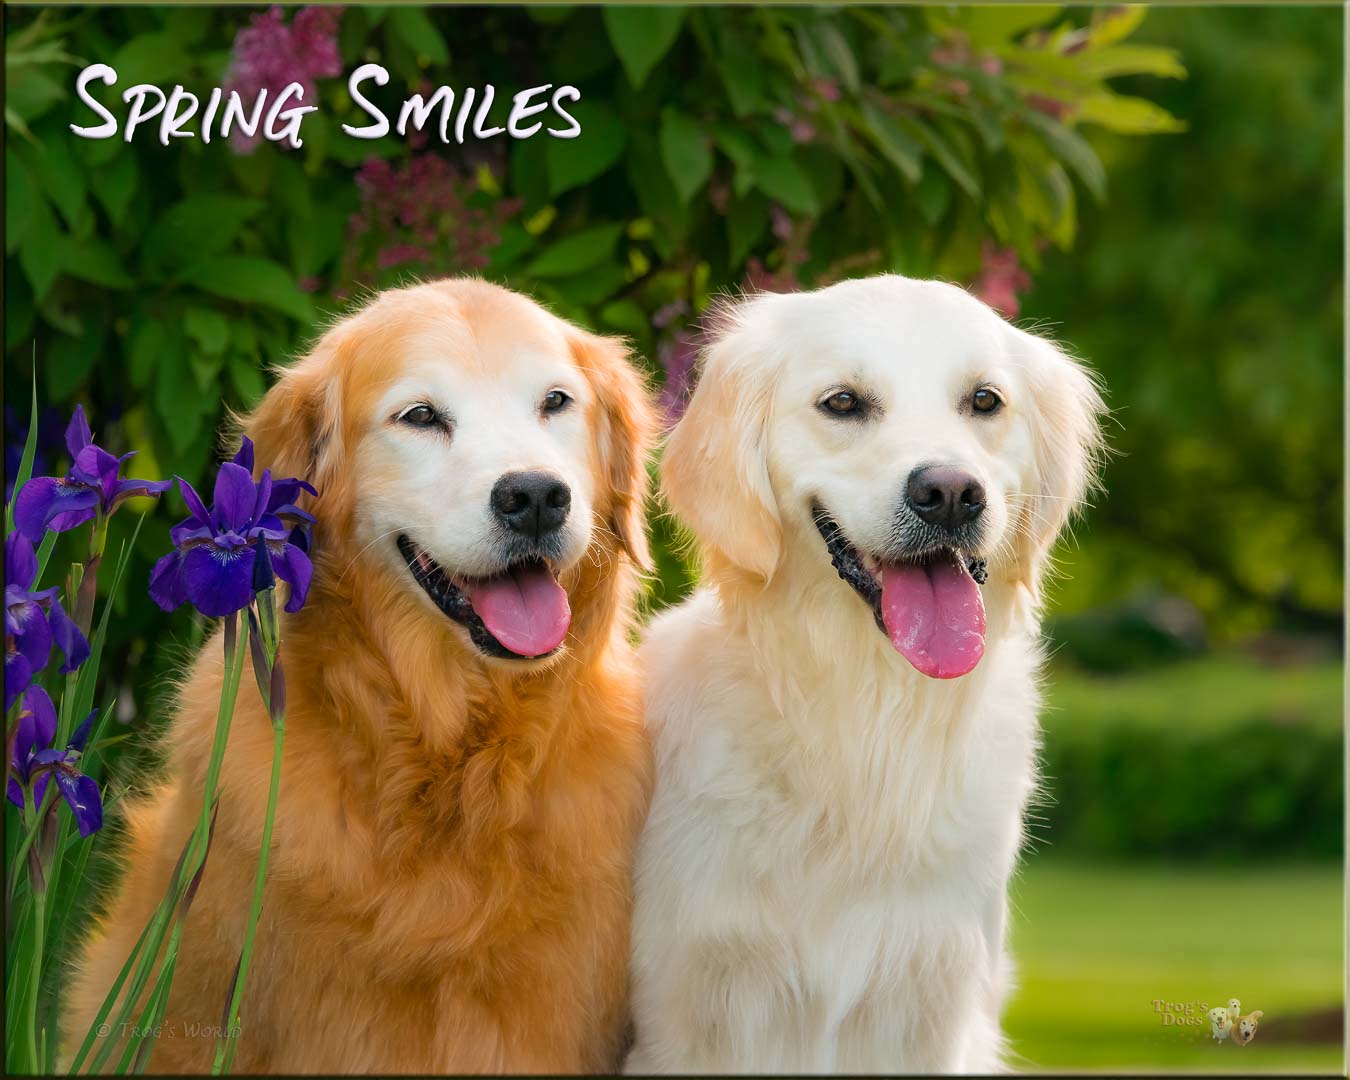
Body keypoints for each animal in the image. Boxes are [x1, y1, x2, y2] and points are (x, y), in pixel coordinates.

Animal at [626, 272, 1101, 1069]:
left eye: (985, 400)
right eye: (843, 402)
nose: (951, 494)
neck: (864, 712)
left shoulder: (929, 1007)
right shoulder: (686, 1011)